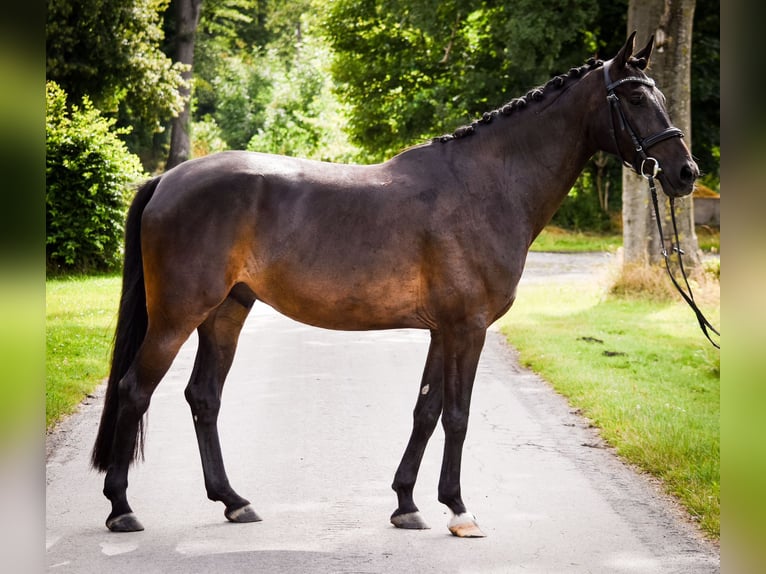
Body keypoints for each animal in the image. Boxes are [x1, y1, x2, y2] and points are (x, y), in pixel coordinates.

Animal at [91, 32, 704, 540]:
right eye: (633, 98)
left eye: (657, 94)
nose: (686, 173)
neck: (487, 185)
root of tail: (168, 178)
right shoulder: (468, 329)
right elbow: (457, 414)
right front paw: (458, 509)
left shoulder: (442, 330)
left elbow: (426, 412)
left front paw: (406, 504)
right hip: (177, 315)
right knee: (134, 390)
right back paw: (121, 508)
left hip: (226, 312)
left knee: (204, 397)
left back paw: (233, 501)